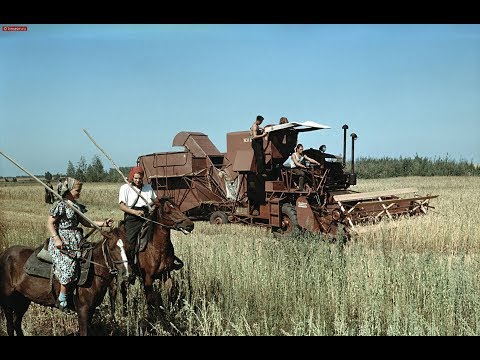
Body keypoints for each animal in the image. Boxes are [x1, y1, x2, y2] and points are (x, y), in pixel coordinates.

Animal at [0, 226, 130, 336]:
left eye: (128, 247)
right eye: (112, 248)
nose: (126, 273)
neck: (94, 271)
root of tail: (4, 254)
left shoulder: (91, 309)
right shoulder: (83, 309)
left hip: (23, 299)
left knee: (17, 323)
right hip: (8, 302)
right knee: (10, 326)